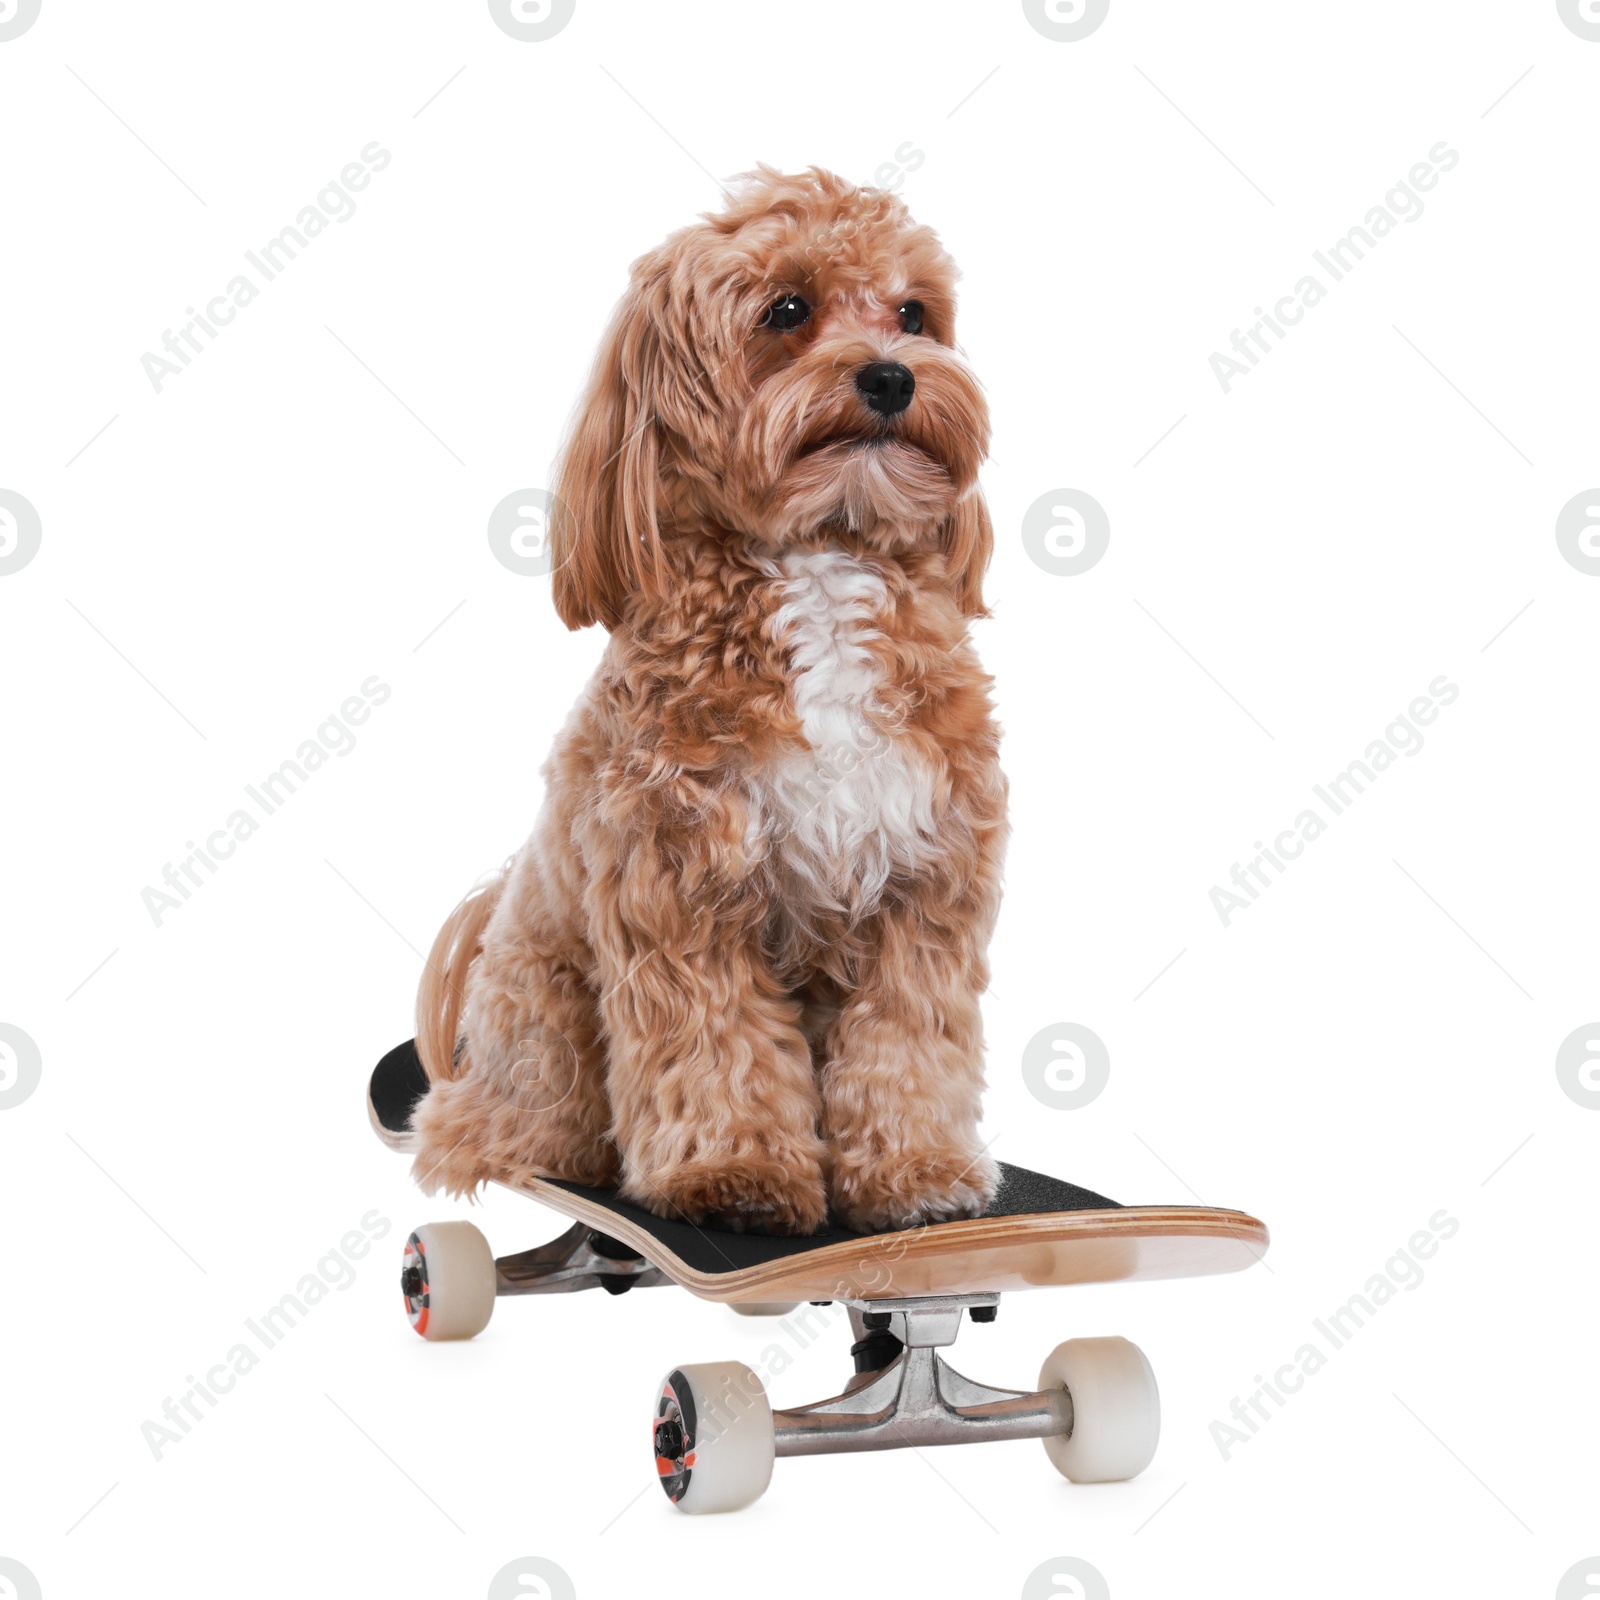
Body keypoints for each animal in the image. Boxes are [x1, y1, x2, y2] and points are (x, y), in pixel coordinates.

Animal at [419, 165, 1004, 1235]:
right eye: (788, 310)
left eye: (915, 314)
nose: (893, 378)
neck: (820, 561)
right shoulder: (679, 889)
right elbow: (713, 1043)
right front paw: (732, 1174)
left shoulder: (926, 885)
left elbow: (908, 1040)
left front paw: (917, 1170)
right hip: (545, 1022)